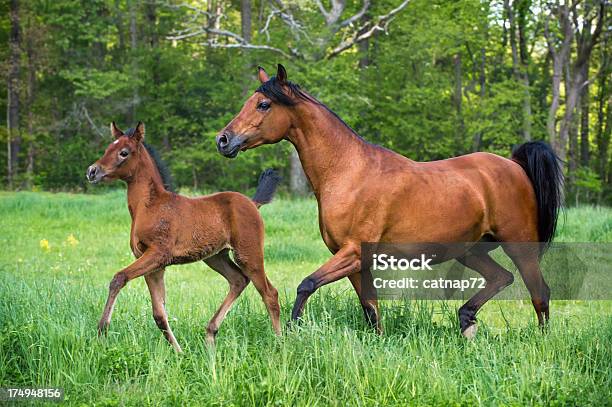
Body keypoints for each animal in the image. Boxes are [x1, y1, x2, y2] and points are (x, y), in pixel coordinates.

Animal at [88, 120, 282, 350]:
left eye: (124, 152)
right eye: (107, 149)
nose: (92, 171)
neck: (150, 206)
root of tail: (253, 203)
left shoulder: (158, 254)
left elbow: (119, 278)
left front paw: (102, 331)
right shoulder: (152, 263)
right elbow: (159, 313)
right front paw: (179, 352)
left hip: (248, 254)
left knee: (269, 294)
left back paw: (280, 343)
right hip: (216, 256)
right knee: (238, 280)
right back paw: (210, 335)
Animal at [215, 63, 564, 338]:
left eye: (263, 105)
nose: (223, 140)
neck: (348, 171)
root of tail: (515, 164)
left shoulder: (353, 252)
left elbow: (307, 285)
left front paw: (291, 330)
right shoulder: (357, 261)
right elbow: (371, 310)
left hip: (520, 247)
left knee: (540, 294)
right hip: (471, 250)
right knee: (501, 278)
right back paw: (466, 321)